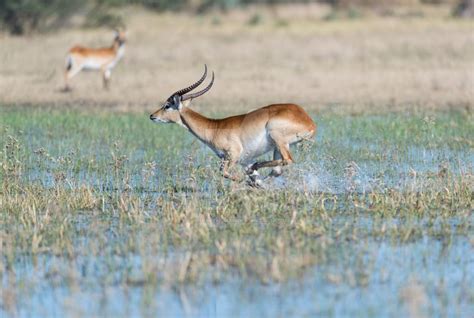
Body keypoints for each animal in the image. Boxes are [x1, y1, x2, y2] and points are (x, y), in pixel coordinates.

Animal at [150, 65, 316, 184]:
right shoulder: (243, 161)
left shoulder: (233, 155)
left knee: (288, 160)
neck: (214, 128)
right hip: (278, 146)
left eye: (167, 105)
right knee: (277, 170)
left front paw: (243, 180)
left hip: (277, 137)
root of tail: (309, 121)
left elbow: (223, 172)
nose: (152, 116)